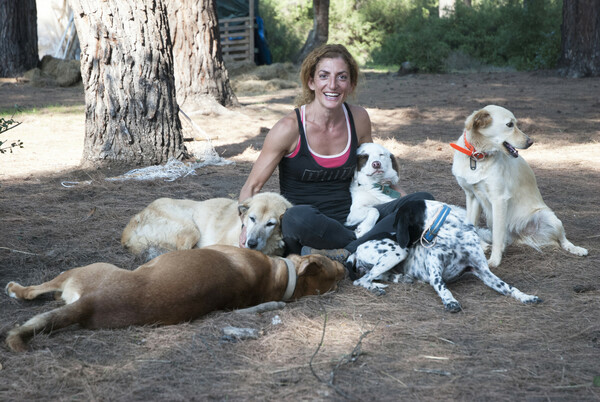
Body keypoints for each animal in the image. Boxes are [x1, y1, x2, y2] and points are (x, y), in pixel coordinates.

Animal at [4, 245, 344, 352]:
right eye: (333, 266)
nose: (347, 267)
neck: (282, 280)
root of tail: (90, 305)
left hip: (83, 270)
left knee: (37, 290)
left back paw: (16, 288)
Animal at [452, 104, 588, 266]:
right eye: (510, 125)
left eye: (515, 123)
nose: (530, 142)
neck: (478, 155)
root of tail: (521, 233)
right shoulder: (472, 196)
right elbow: (471, 228)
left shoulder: (499, 199)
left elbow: (497, 235)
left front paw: (494, 261)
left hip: (548, 216)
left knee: (563, 239)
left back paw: (576, 249)